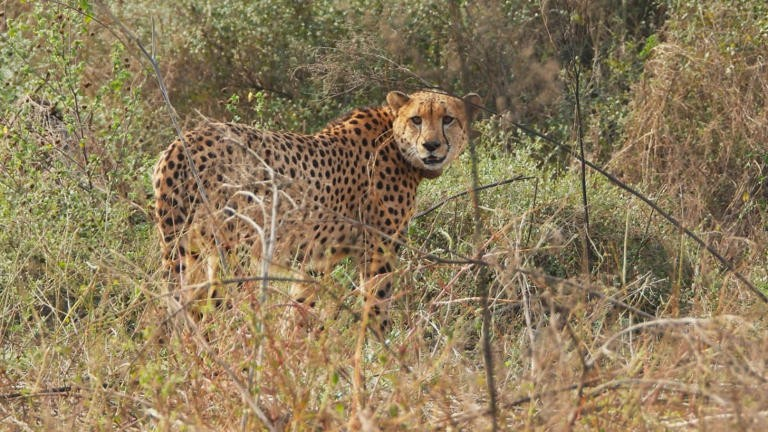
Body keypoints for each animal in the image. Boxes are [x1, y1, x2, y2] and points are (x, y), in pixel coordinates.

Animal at [152, 90, 482, 331]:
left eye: (448, 119)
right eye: (416, 119)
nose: (432, 145)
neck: (395, 139)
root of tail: (183, 142)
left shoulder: (315, 259)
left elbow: (300, 306)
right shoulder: (379, 251)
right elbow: (376, 305)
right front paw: (383, 353)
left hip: (190, 250)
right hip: (233, 252)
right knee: (216, 307)